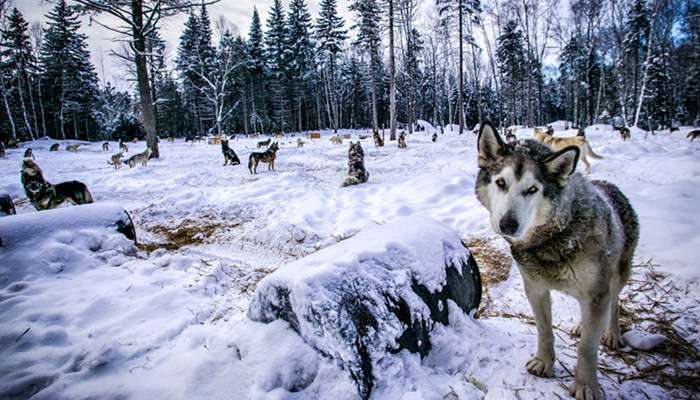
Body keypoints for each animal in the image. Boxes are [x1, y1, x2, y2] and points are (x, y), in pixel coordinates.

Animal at [476, 121, 640, 400]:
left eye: (532, 189)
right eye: (501, 183)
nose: (508, 225)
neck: (555, 236)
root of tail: (610, 185)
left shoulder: (597, 293)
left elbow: (587, 348)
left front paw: (586, 386)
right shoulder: (535, 288)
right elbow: (545, 330)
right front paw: (544, 362)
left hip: (617, 276)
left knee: (615, 302)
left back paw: (612, 334)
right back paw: (582, 326)